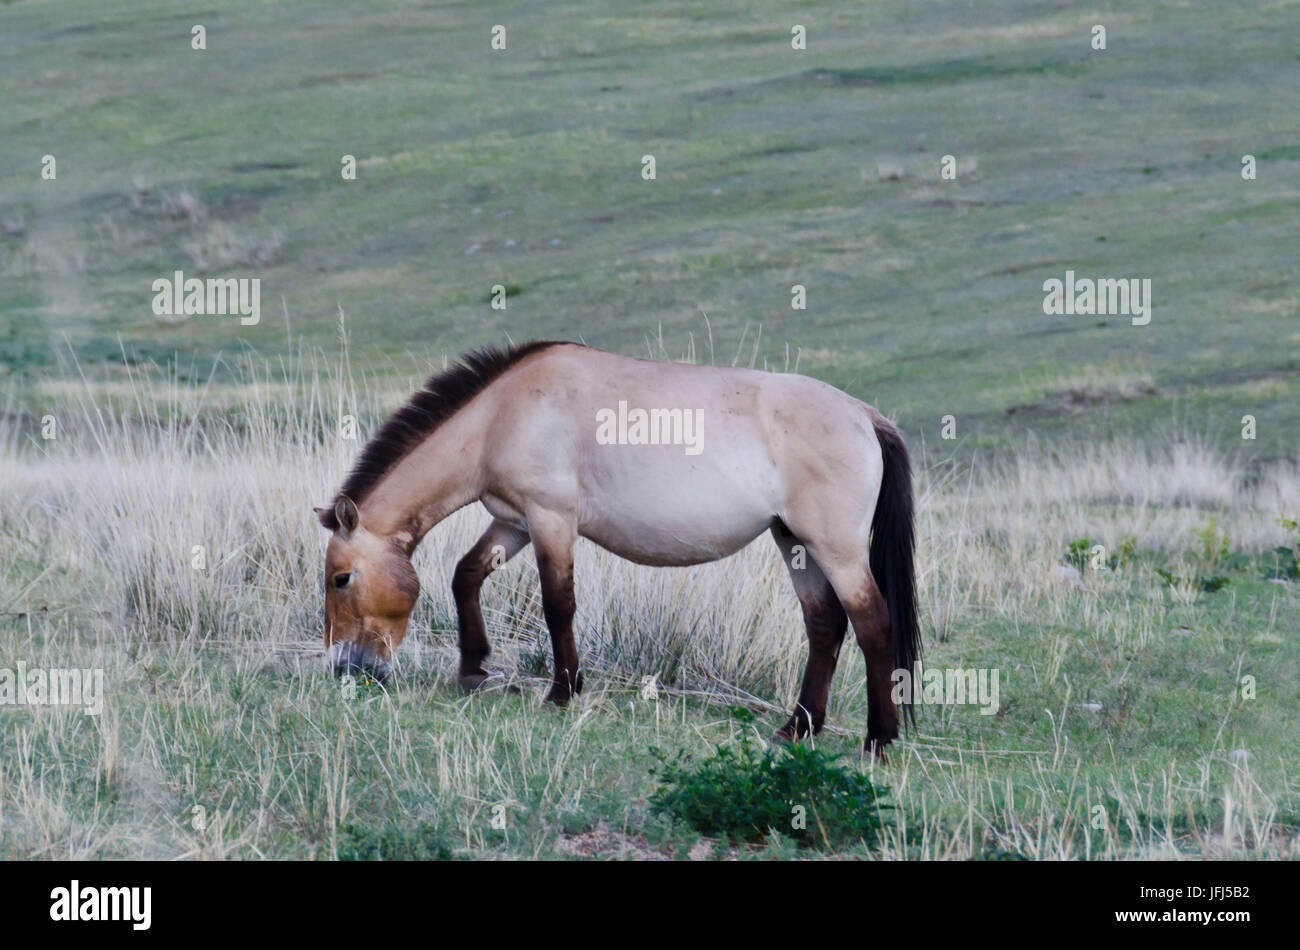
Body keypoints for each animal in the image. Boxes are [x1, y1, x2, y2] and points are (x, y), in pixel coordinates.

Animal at [315, 341, 920, 758]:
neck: (502, 415)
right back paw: (797, 728)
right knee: (825, 626)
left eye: (340, 579)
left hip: (835, 549)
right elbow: (466, 576)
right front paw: (472, 669)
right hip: (794, 542)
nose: (348, 668)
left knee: (872, 624)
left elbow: (557, 605)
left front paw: (562, 693)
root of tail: (865, 415)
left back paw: (877, 740)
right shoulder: (513, 523)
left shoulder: (550, 520)